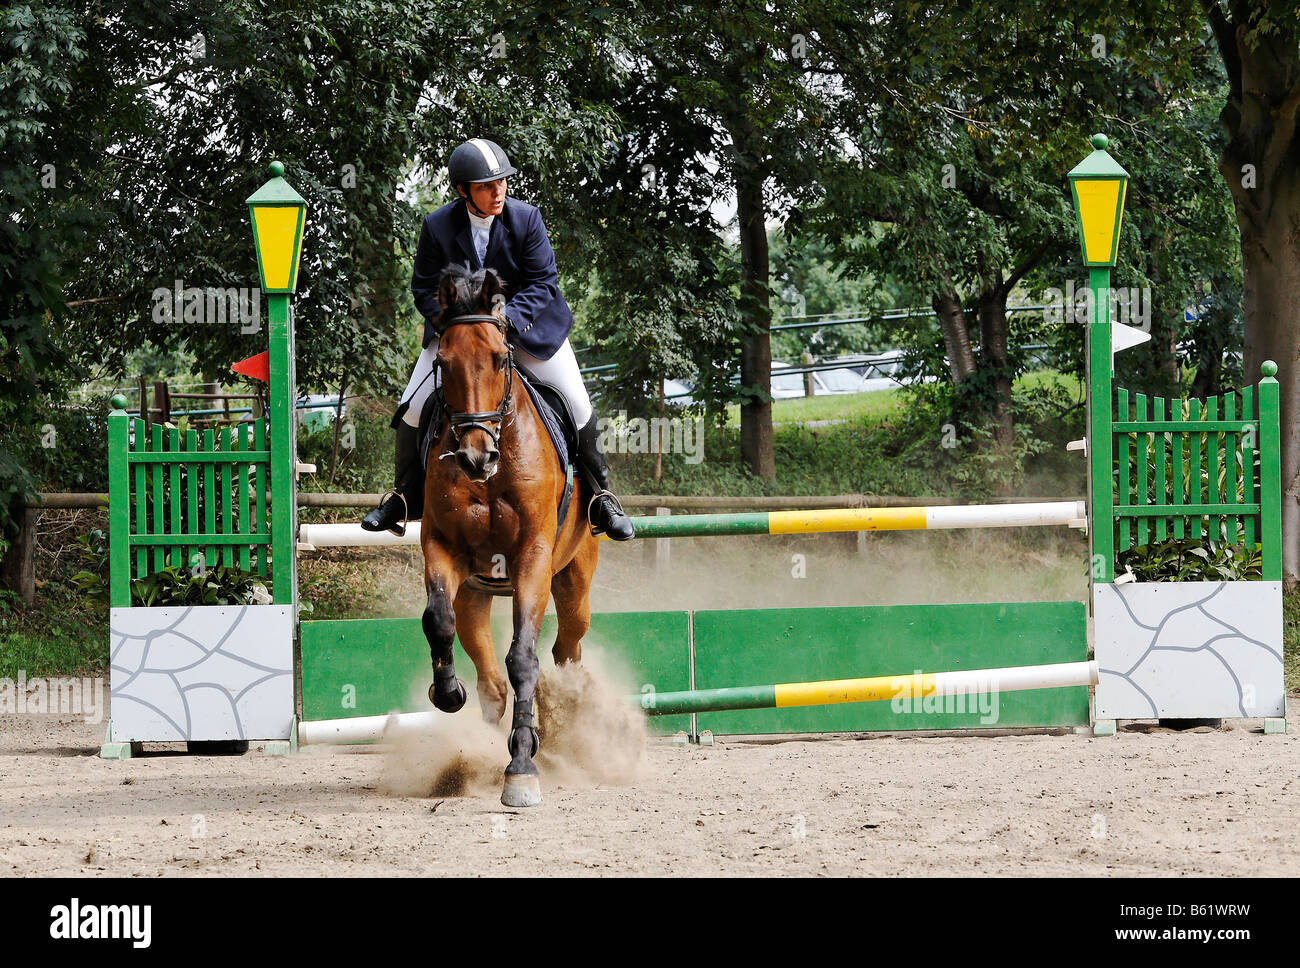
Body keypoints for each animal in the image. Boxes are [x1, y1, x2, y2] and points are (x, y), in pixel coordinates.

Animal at [418, 261, 600, 805]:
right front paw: (446, 693)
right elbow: (437, 621)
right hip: (476, 593)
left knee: (563, 653)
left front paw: (520, 767)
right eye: (444, 362)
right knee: (490, 677)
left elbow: (524, 657)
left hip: (573, 582)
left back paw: (557, 734)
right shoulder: (442, 548)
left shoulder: (533, 559)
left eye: (500, 359)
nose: (476, 458)